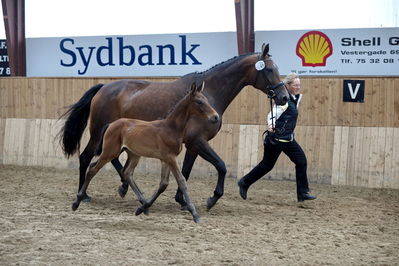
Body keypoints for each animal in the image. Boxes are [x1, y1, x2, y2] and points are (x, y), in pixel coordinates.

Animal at [73, 82, 220, 222]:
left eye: (206, 99)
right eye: (199, 102)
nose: (215, 117)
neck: (171, 128)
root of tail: (111, 124)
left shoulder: (165, 160)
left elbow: (163, 184)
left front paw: (142, 208)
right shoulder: (170, 158)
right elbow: (182, 181)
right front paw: (195, 215)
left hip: (133, 155)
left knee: (127, 173)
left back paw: (143, 205)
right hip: (110, 152)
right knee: (93, 169)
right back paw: (77, 201)